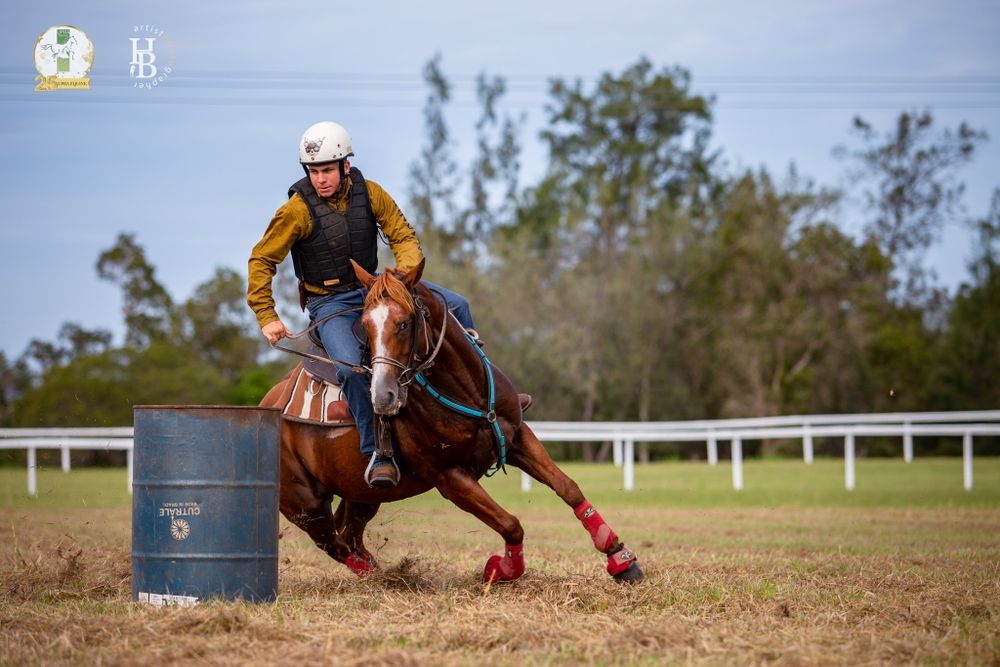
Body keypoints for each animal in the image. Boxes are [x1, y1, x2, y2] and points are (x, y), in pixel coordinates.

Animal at [260, 259, 644, 584]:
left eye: (405, 322)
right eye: (364, 327)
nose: (382, 397)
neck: (466, 393)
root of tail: (269, 402)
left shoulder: (518, 437)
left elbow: (568, 488)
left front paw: (620, 558)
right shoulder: (450, 478)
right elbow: (511, 524)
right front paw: (502, 569)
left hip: (362, 492)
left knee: (348, 533)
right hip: (304, 504)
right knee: (334, 543)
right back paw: (381, 578)